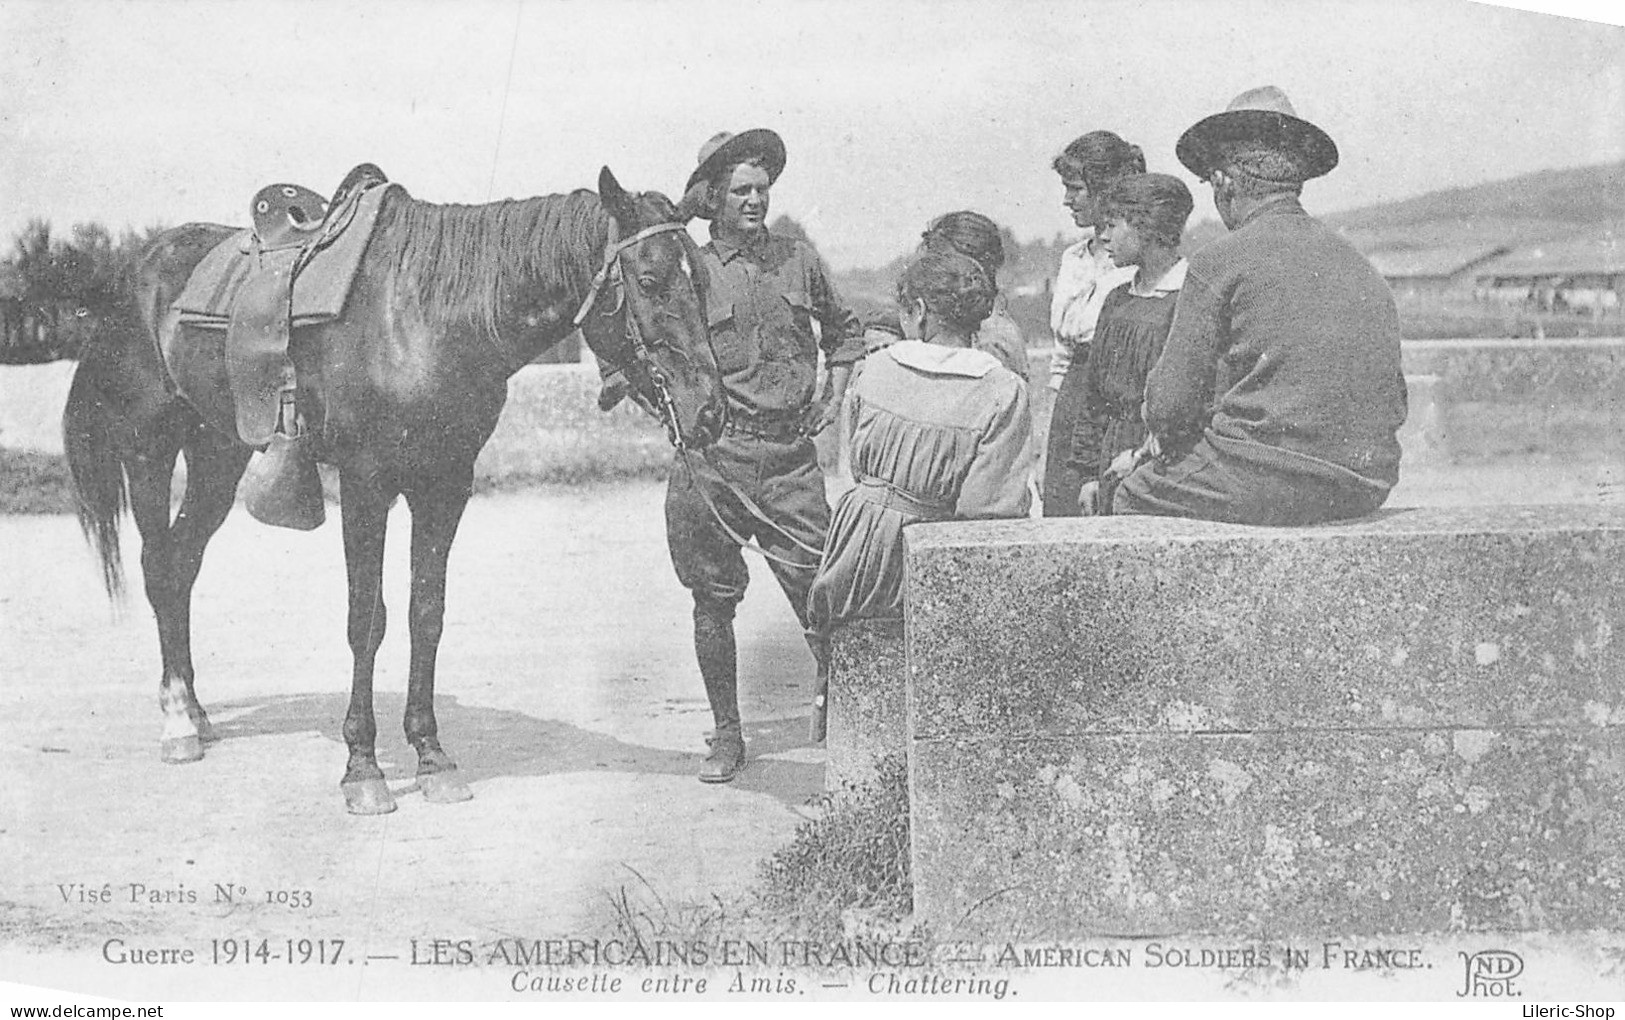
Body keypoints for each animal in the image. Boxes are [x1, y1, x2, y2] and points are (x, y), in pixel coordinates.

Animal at [63, 171, 724, 815]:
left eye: (702, 280)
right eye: (649, 280)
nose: (710, 411)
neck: (425, 318)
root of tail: (135, 270)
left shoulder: (445, 486)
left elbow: (425, 613)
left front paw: (432, 757)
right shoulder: (367, 485)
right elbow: (367, 620)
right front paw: (363, 768)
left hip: (216, 456)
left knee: (182, 565)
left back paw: (197, 714)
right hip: (149, 452)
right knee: (158, 565)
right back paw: (177, 721)